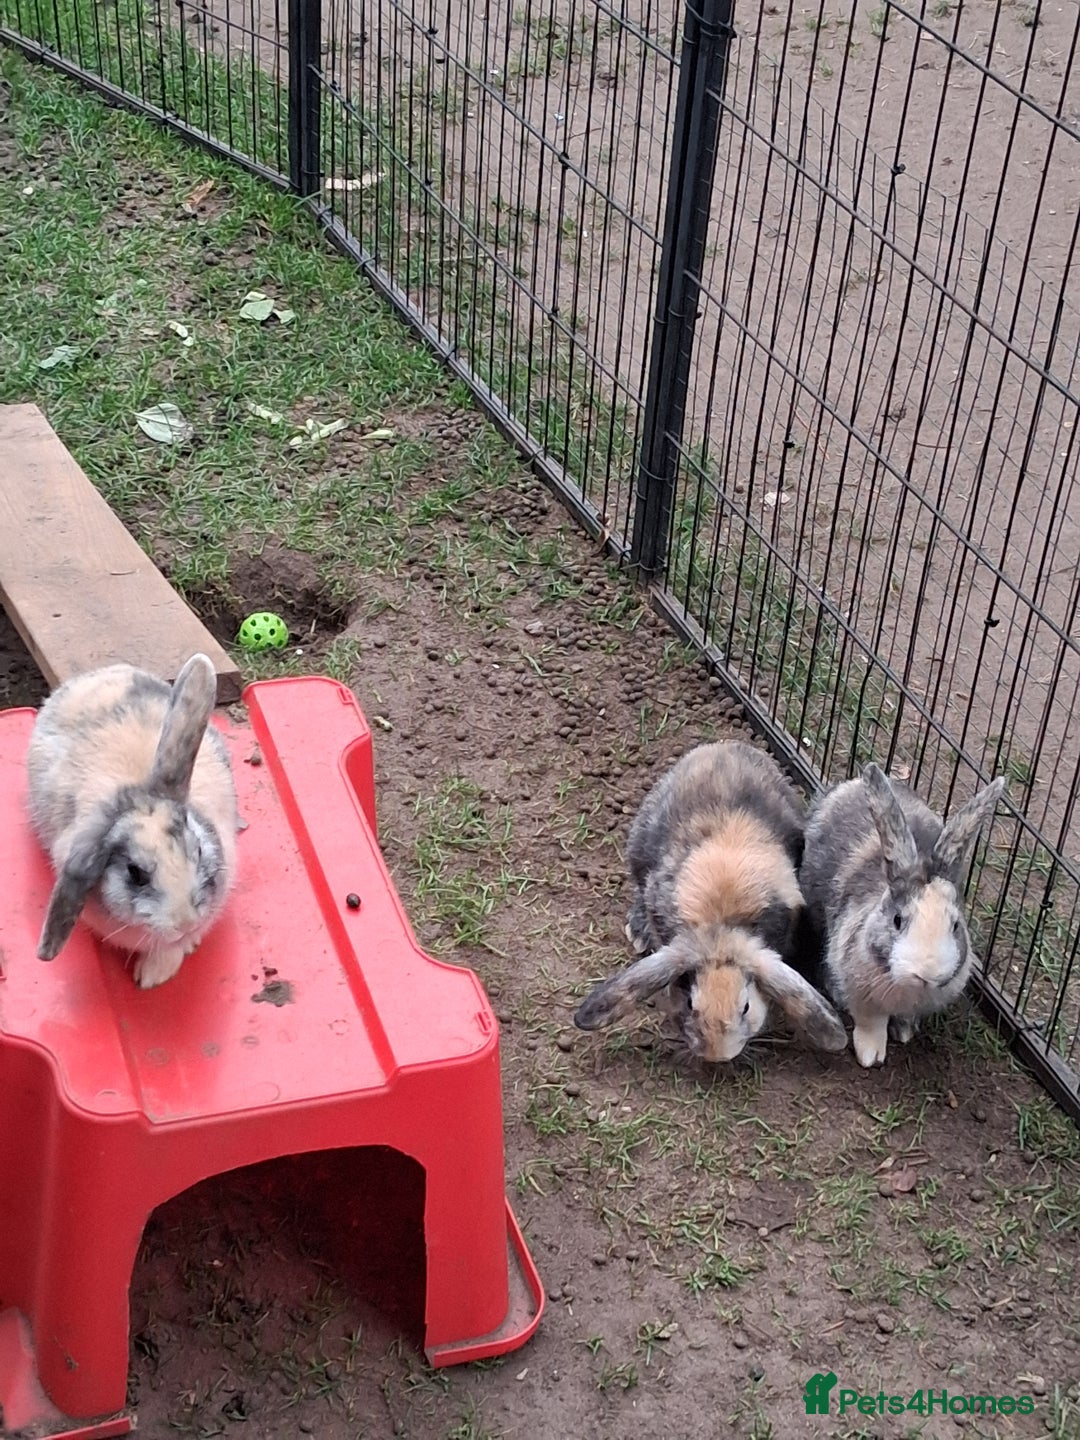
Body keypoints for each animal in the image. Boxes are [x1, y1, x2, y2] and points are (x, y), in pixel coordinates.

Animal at [26, 652, 238, 989]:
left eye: (199, 851)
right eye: (135, 873)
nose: (186, 924)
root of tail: (103, 672)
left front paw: (157, 971)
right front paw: (152, 977)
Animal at [799, 762, 1005, 1068]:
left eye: (956, 925)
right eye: (897, 920)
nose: (928, 972)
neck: (908, 990)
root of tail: (849, 785)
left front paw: (905, 1032)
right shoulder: (860, 992)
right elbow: (870, 1022)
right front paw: (871, 1055)